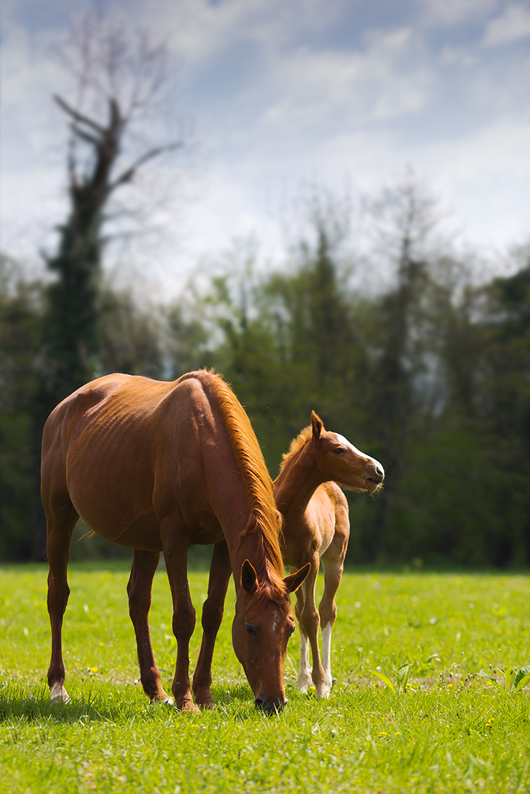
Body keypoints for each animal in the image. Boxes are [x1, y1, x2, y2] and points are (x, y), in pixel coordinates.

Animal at [274, 412, 382, 696]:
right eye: (339, 449)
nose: (378, 470)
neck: (290, 514)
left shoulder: (311, 560)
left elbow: (312, 616)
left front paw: (321, 683)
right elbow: (295, 613)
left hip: (334, 560)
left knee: (326, 611)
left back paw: (326, 679)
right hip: (295, 568)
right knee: (300, 610)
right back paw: (302, 682)